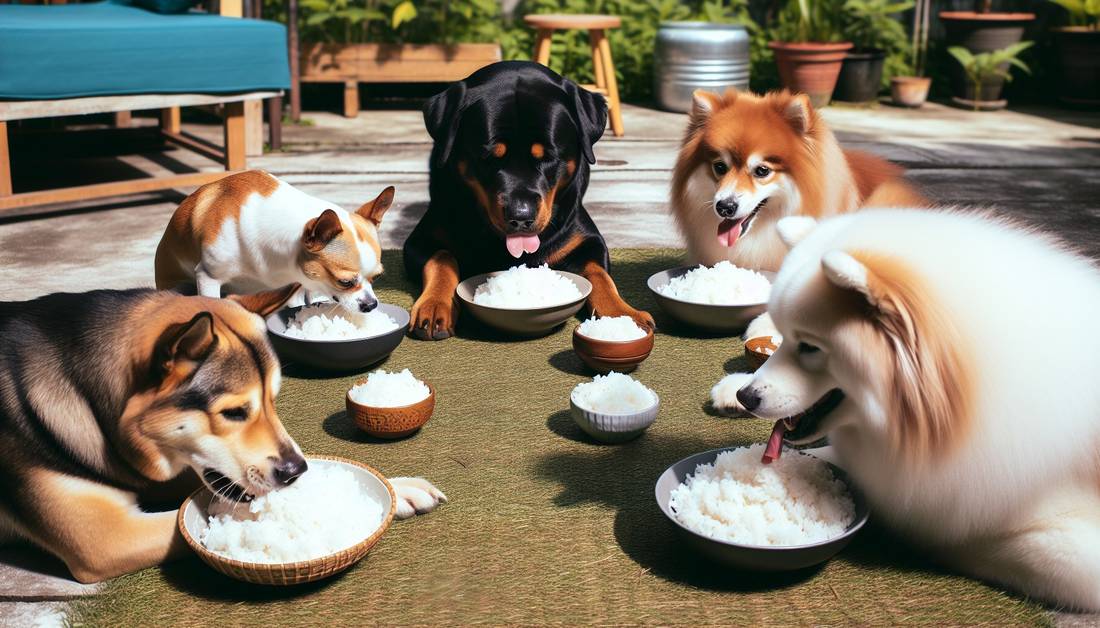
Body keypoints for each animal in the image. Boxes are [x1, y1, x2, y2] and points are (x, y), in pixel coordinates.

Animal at [404, 60, 651, 338]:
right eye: (488, 158)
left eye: (549, 157)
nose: (520, 216)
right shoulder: (420, 239)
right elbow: (442, 257)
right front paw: (435, 305)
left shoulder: (588, 239)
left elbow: (599, 274)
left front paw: (622, 316)